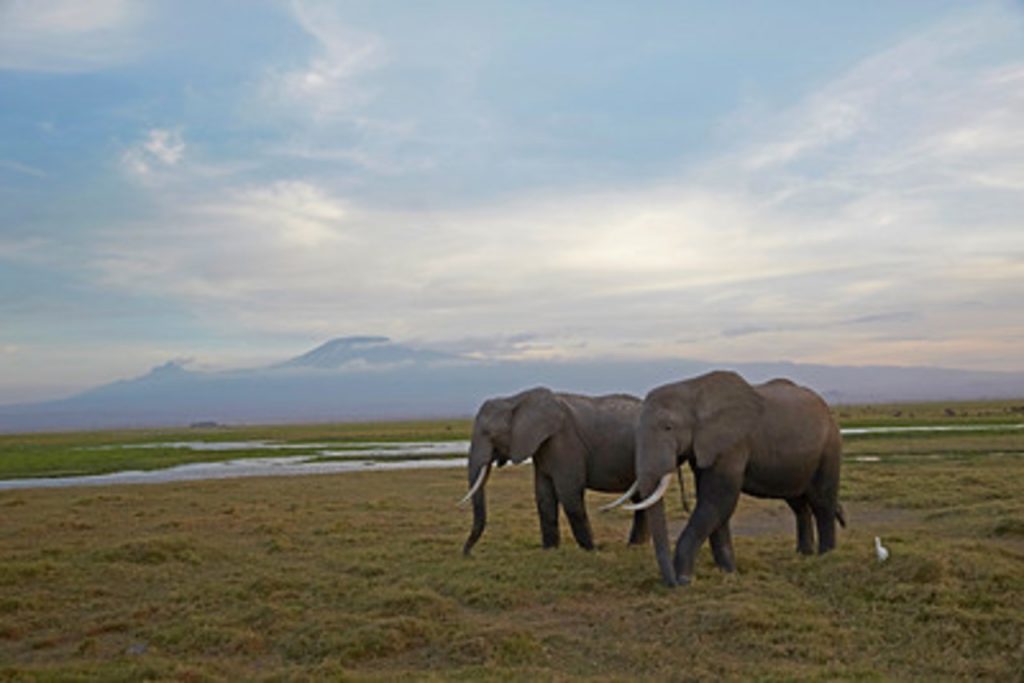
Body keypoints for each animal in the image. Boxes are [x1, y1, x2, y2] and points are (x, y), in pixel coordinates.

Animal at [460, 387, 651, 552]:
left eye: (490, 435)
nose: (467, 554)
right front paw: (550, 551)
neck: (515, 399)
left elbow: (569, 494)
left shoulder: (564, 441)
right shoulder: (542, 447)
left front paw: (592, 551)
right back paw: (635, 546)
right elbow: (544, 497)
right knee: (640, 499)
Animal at [610, 374, 843, 589]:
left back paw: (826, 556)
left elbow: (718, 501)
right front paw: (729, 573)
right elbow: (715, 505)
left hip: (829, 447)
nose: (673, 582)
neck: (692, 389)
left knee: (822, 501)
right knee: (798, 503)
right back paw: (804, 554)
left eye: (668, 427)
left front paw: (686, 580)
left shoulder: (731, 444)